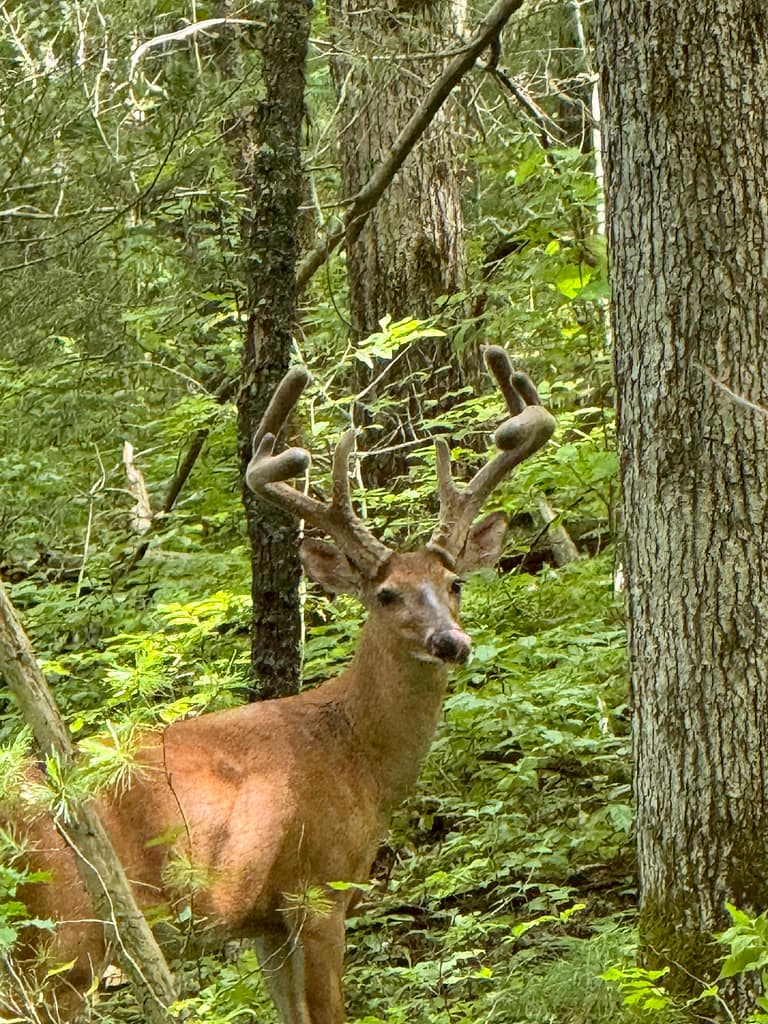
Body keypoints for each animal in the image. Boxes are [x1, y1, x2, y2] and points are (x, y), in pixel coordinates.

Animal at [4, 347, 554, 1024]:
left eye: (454, 584)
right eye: (386, 594)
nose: (450, 642)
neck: (358, 756)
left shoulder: (265, 921)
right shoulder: (318, 891)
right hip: (66, 931)